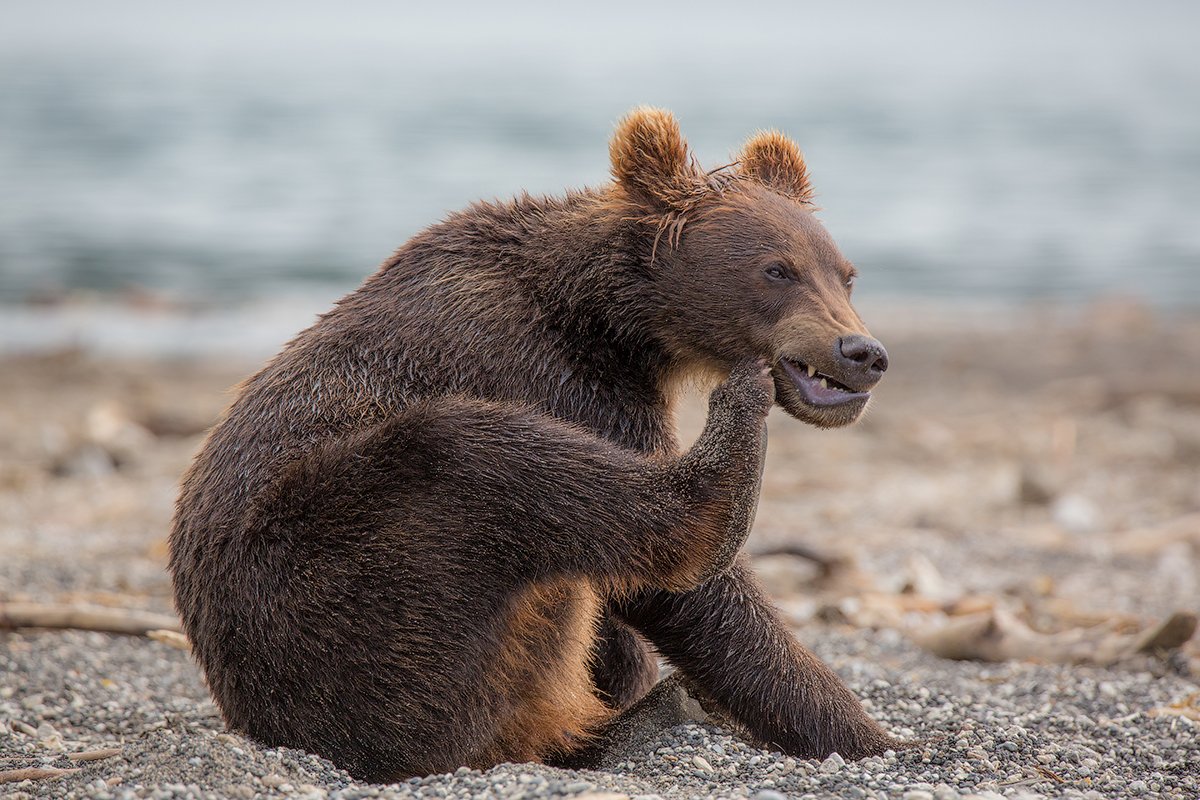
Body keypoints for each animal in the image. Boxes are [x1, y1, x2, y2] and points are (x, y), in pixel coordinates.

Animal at [174, 106, 897, 782]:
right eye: (777, 270)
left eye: (846, 275)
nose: (862, 352)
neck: (611, 324)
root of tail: (257, 717)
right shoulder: (553, 377)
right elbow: (688, 594)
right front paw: (868, 734)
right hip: (337, 585)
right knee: (479, 462)